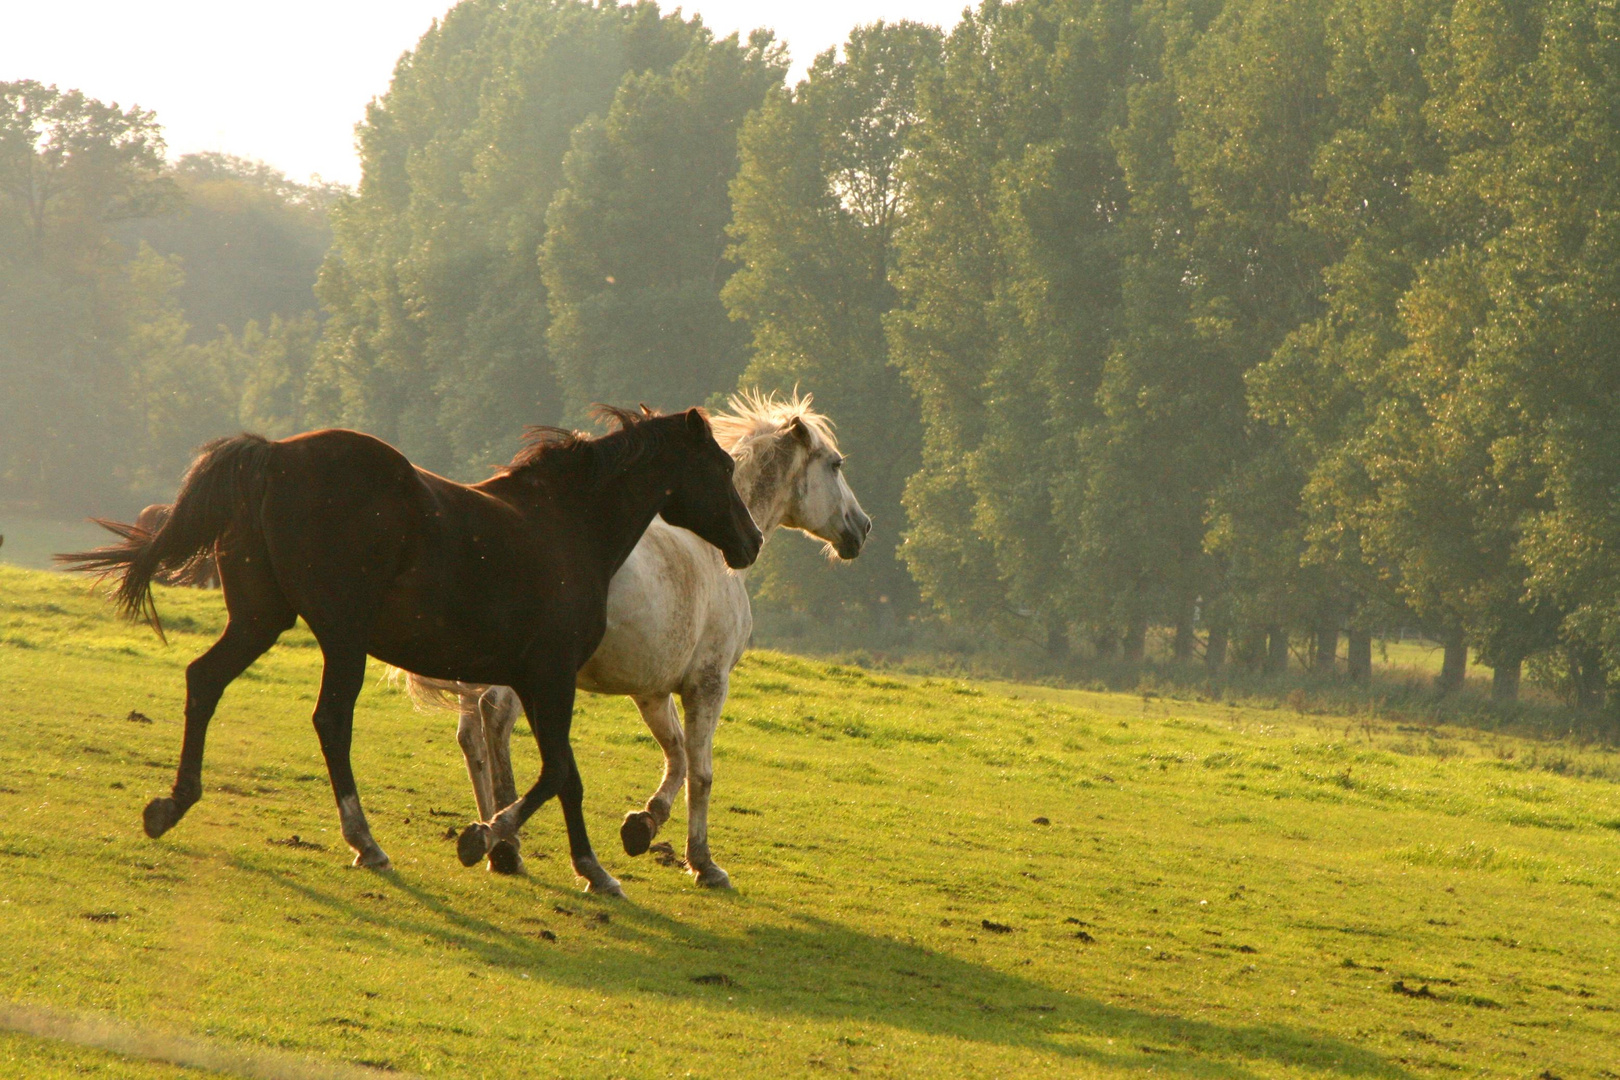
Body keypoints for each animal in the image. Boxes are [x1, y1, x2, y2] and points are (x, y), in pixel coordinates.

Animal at [66, 409, 761, 893]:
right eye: (723, 470)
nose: (751, 541)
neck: (570, 527)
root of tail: (274, 456)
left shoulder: (533, 680)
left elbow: (560, 772)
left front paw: (581, 865)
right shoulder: (552, 675)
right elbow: (561, 771)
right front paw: (497, 842)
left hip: (262, 619)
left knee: (204, 680)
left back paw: (171, 805)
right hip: (341, 634)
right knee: (330, 720)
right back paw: (365, 842)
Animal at [408, 393, 874, 893]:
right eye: (835, 464)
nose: (862, 527)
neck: (709, 554)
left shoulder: (652, 691)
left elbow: (676, 756)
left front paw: (642, 826)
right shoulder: (708, 684)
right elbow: (701, 771)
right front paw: (703, 863)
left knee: (471, 737)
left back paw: (497, 836)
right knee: (494, 719)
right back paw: (503, 843)